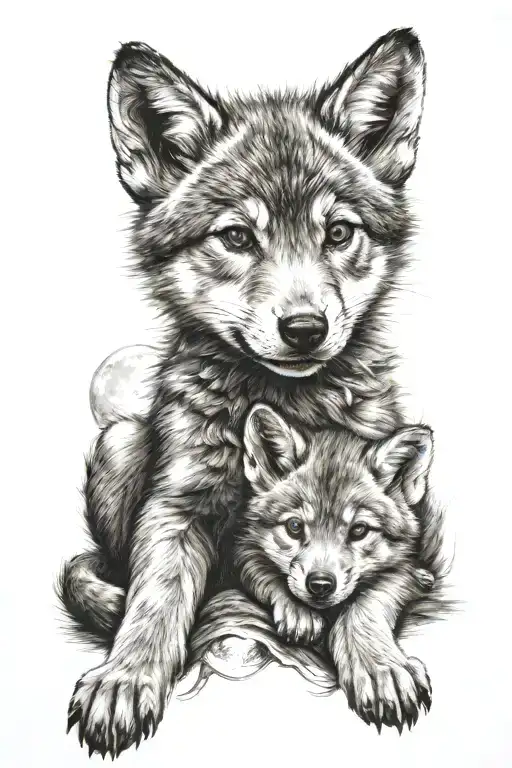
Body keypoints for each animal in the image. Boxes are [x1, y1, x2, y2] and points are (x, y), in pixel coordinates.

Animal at [235, 403, 445, 730]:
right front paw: (297, 612)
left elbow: (363, 608)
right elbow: (264, 571)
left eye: (359, 530)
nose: (320, 585)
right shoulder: (244, 548)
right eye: (294, 527)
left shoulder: (400, 570)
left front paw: (380, 670)